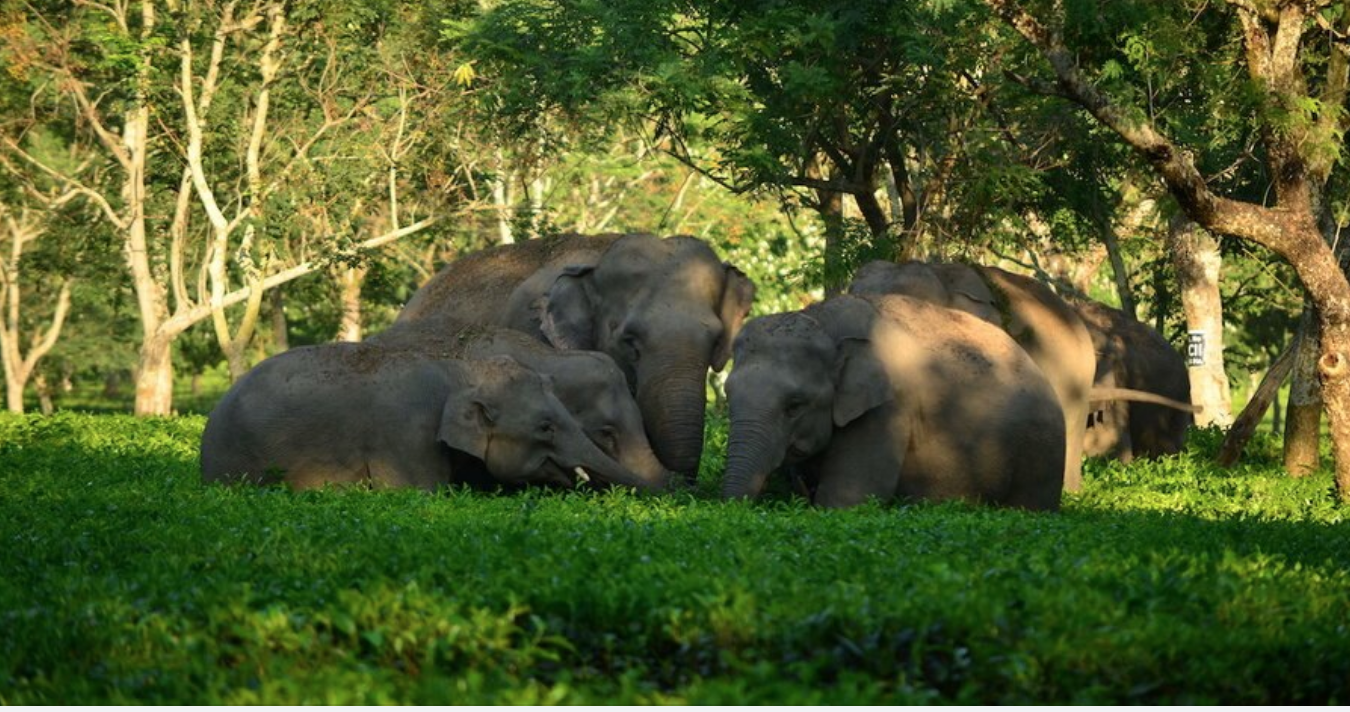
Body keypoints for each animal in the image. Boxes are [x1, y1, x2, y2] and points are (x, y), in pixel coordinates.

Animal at [721, 293, 1065, 511]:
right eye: (728, 395)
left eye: (795, 406)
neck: (825, 320)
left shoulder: (888, 409)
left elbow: (848, 500)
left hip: (1043, 451)